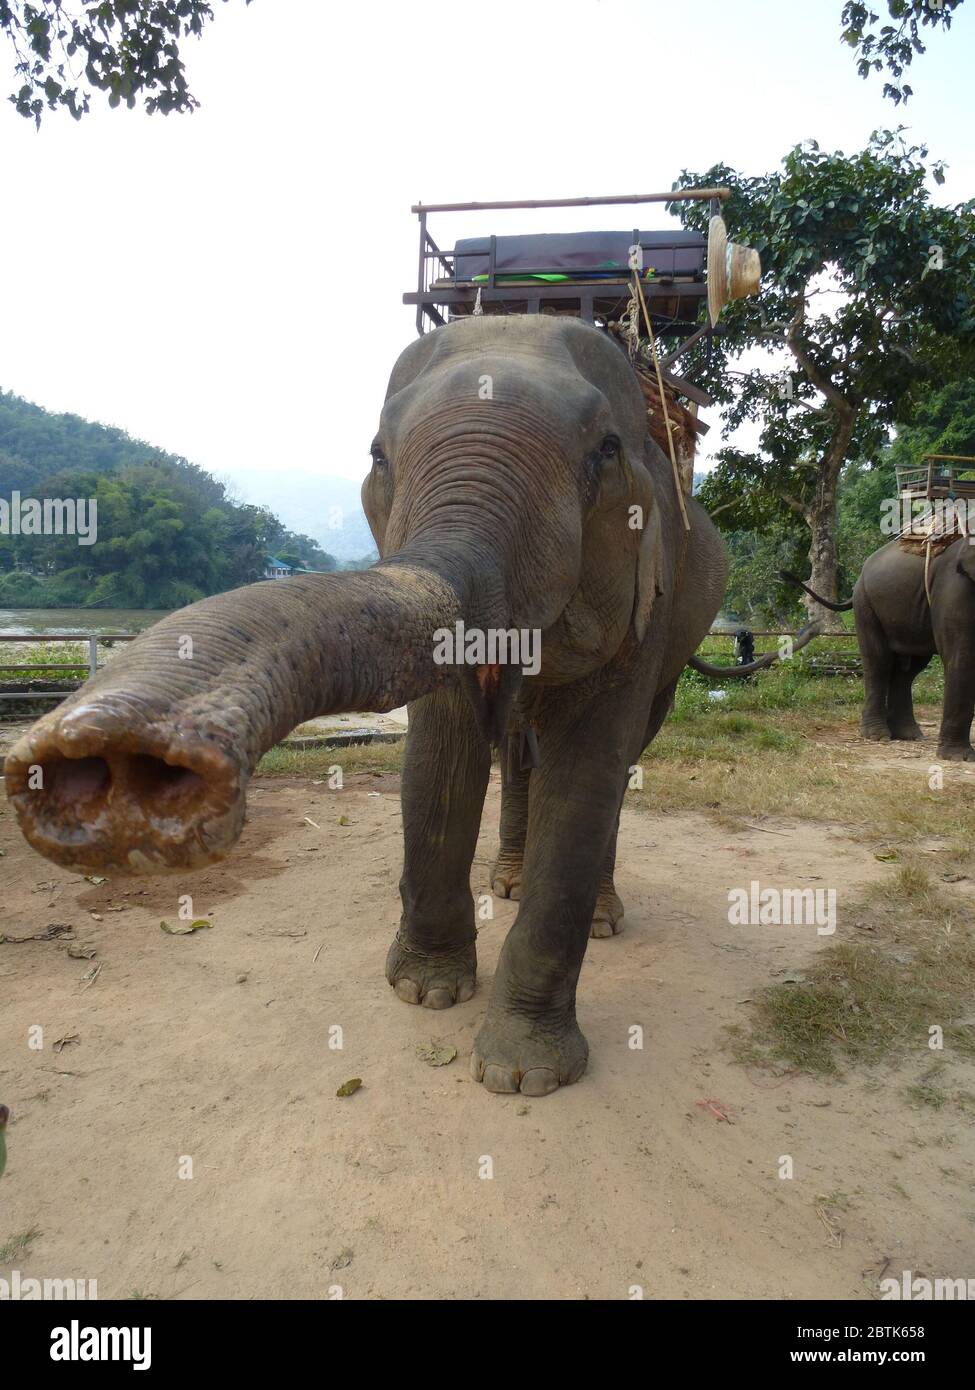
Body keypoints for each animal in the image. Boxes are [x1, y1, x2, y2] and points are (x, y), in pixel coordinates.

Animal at [7, 314, 735, 1097]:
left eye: (605, 451)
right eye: (379, 455)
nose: (107, 762)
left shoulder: (645, 606)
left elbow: (588, 772)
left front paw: (522, 1076)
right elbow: (440, 753)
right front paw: (426, 993)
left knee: (621, 757)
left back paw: (599, 915)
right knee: (518, 742)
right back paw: (506, 881)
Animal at [784, 534, 975, 760]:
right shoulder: (954, 585)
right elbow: (962, 656)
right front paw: (959, 758)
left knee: (908, 670)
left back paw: (908, 735)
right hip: (865, 605)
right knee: (879, 663)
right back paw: (878, 736)